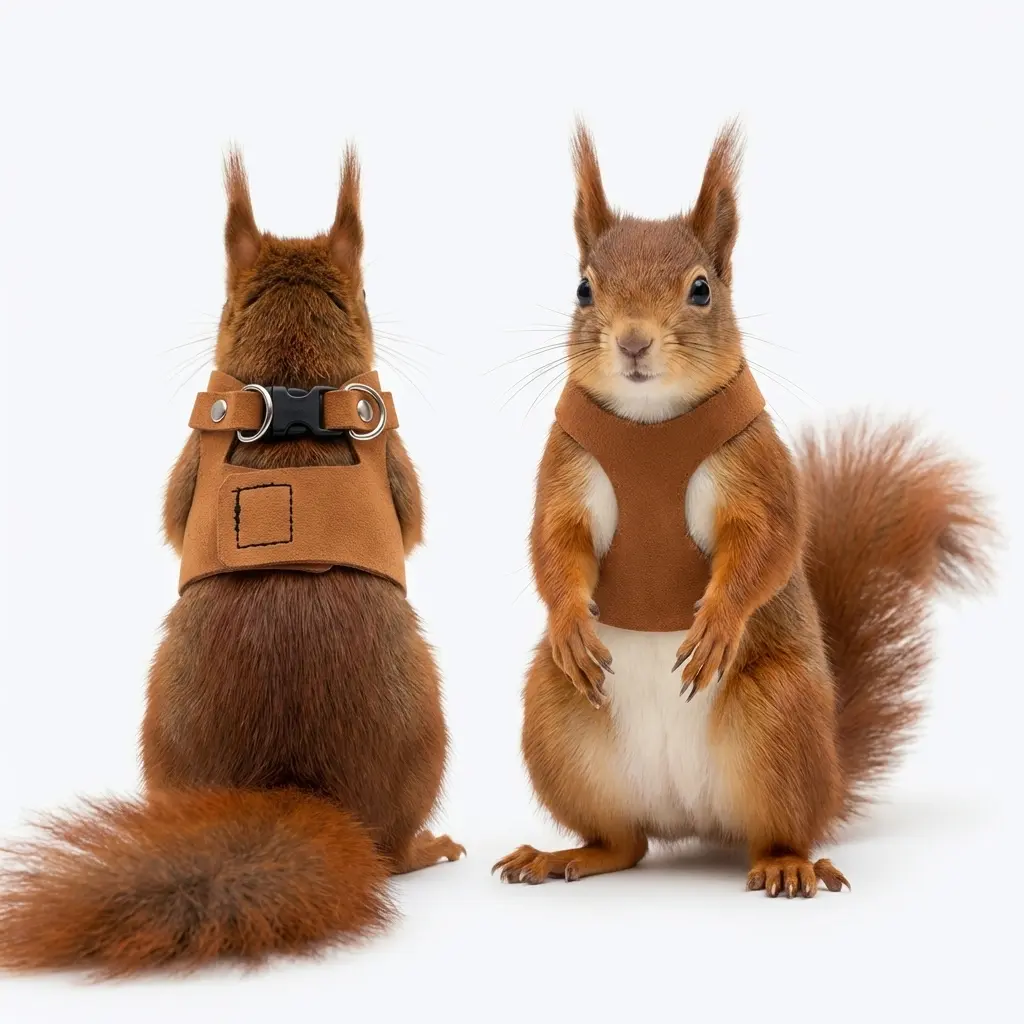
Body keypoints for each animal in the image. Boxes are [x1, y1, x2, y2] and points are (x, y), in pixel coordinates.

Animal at [493, 122, 994, 896]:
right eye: (582, 287)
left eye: (701, 289)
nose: (633, 341)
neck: (651, 425)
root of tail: (691, 818)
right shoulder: (566, 471)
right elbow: (555, 544)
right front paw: (571, 622)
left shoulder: (757, 472)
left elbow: (768, 543)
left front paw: (719, 624)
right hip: (558, 719)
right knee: (624, 842)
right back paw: (563, 855)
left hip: (778, 718)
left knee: (777, 828)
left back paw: (788, 864)